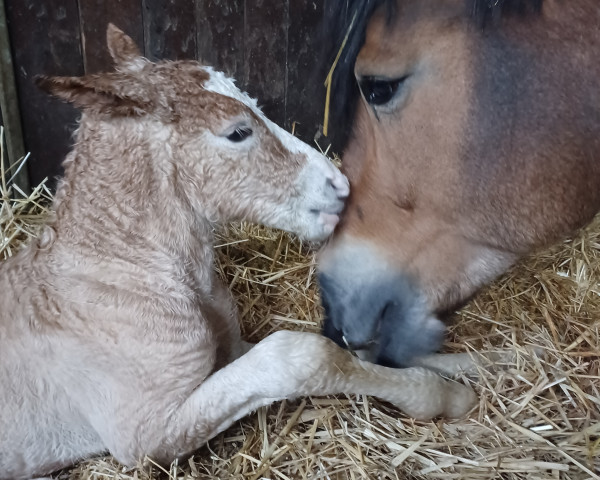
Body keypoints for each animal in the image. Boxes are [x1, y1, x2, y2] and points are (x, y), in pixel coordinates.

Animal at [1, 27, 478, 480]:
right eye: (237, 132)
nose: (339, 187)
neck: (122, 271)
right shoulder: (143, 438)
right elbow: (302, 356)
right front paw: (447, 396)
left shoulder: (229, 352)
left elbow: (351, 350)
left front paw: (471, 365)